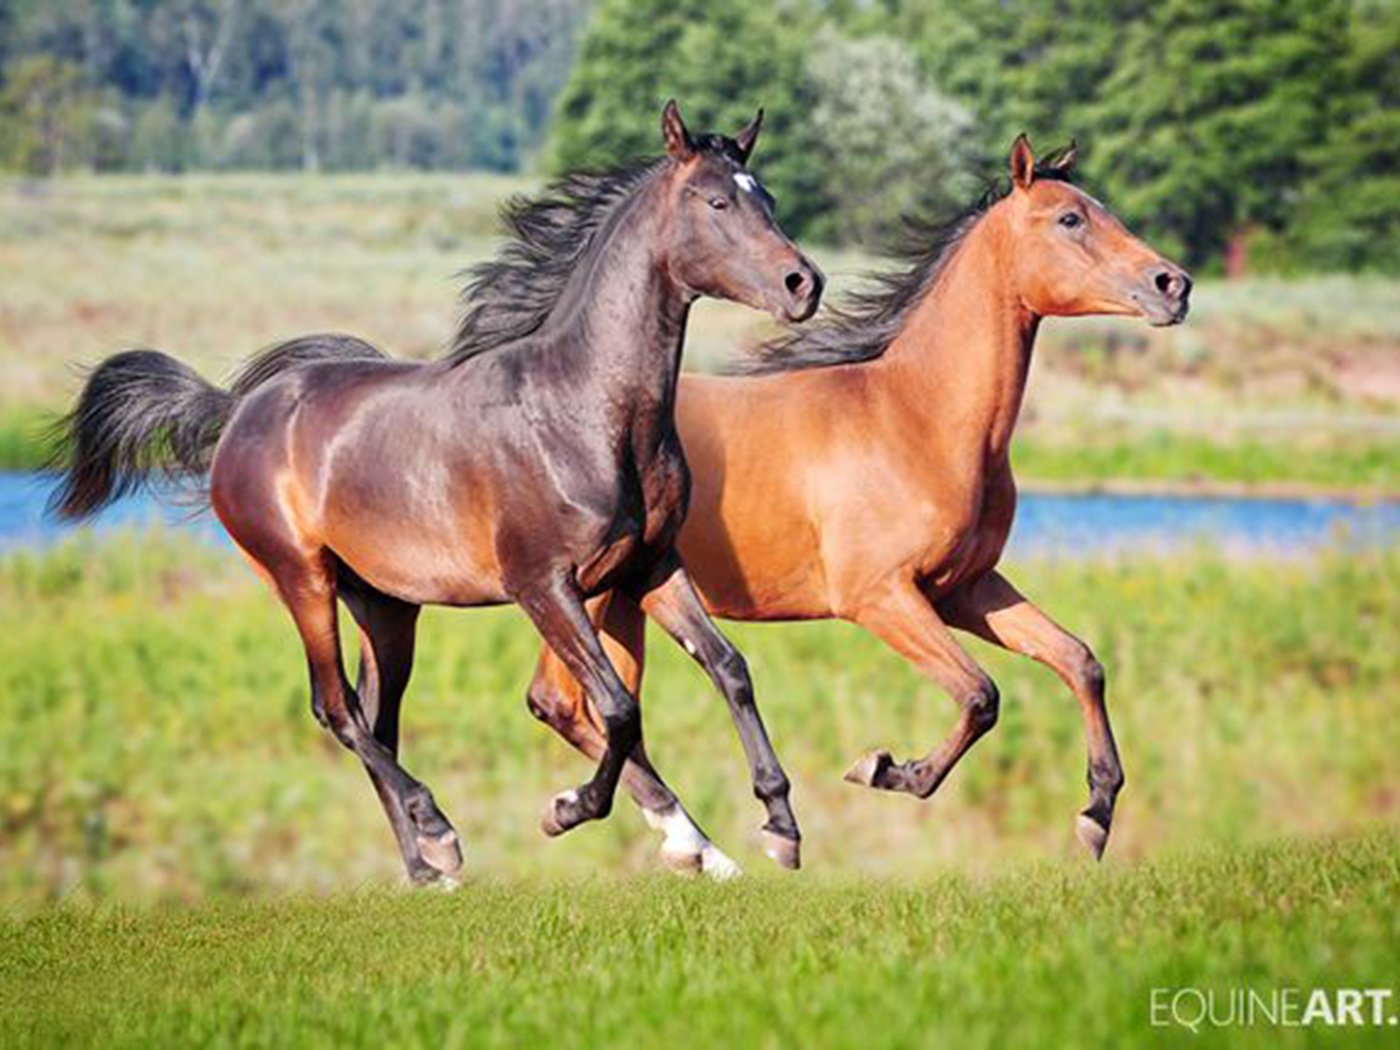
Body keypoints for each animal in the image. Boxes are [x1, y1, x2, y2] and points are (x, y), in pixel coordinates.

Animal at [51, 100, 817, 890]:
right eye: (716, 201)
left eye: (768, 197)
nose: (803, 284)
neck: (584, 409)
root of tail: (237, 411)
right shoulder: (544, 586)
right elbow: (616, 705)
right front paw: (568, 809)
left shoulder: (650, 567)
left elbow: (729, 668)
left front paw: (776, 828)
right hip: (301, 578)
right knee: (337, 710)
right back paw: (439, 832)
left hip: (385, 605)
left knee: (376, 716)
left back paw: (426, 867)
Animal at [529, 133, 1187, 873]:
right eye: (1071, 218)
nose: (1174, 285)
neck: (918, 419)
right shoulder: (880, 597)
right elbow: (980, 693)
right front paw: (885, 769)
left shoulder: (965, 588)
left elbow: (1079, 661)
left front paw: (1096, 814)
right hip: (583, 594)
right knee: (563, 701)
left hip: (626, 596)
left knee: (598, 706)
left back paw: (687, 841)